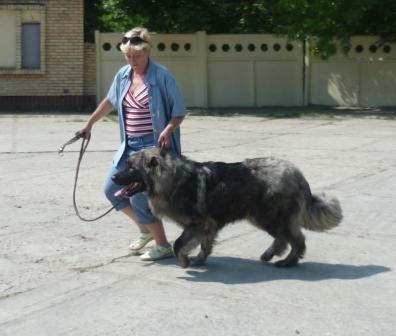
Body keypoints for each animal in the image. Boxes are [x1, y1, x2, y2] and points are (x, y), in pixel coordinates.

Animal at [113, 148, 342, 268]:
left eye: (131, 167)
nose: (114, 177)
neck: (172, 179)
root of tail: (297, 173)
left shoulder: (198, 223)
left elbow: (179, 244)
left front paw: (184, 261)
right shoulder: (207, 225)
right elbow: (205, 244)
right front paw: (200, 259)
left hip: (270, 216)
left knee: (296, 240)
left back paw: (288, 261)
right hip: (262, 216)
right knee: (284, 239)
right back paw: (269, 255)